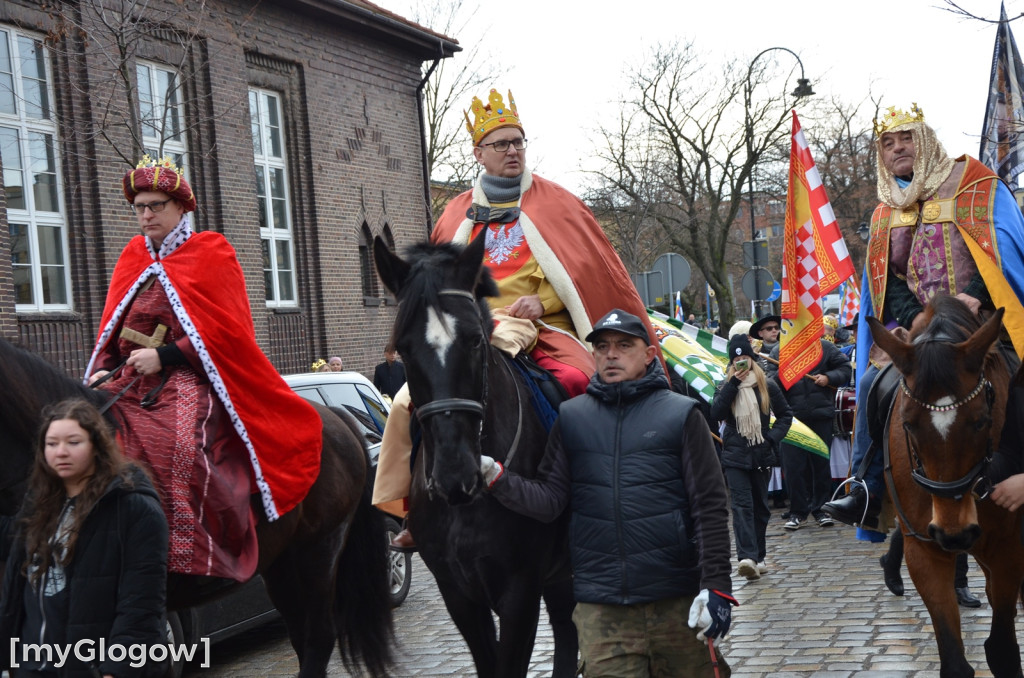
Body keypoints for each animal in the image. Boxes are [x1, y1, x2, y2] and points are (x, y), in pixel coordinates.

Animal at [872, 297, 1024, 678]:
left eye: (981, 421)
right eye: (908, 424)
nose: (954, 534)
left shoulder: (1008, 548)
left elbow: (1002, 649)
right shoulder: (925, 551)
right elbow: (955, 661)